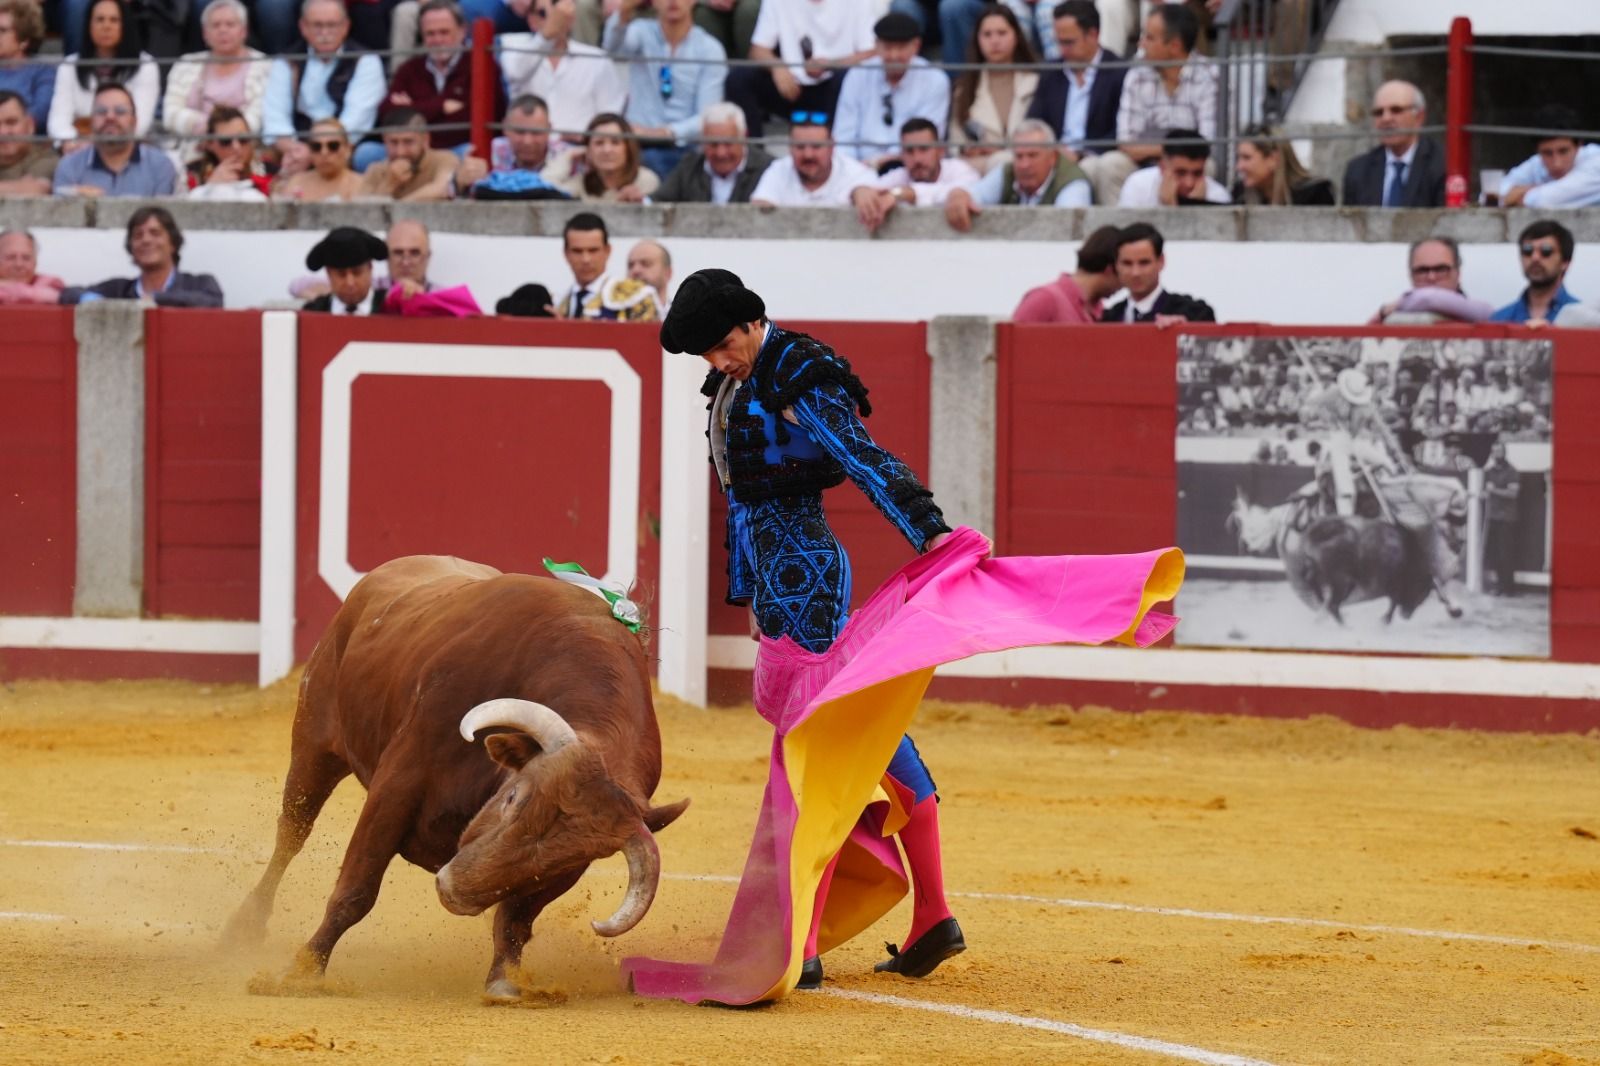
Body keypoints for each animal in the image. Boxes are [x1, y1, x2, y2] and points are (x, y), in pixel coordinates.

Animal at [225, 557, 688, 998]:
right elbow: (356, 890)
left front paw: (504, 983)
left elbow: (515, 920)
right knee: (292, 832)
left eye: (566, 860)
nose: (454, 892)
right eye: (512, 797)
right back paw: (243, 928)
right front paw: (303, 970)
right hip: (314, 743)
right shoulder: (398, 784)